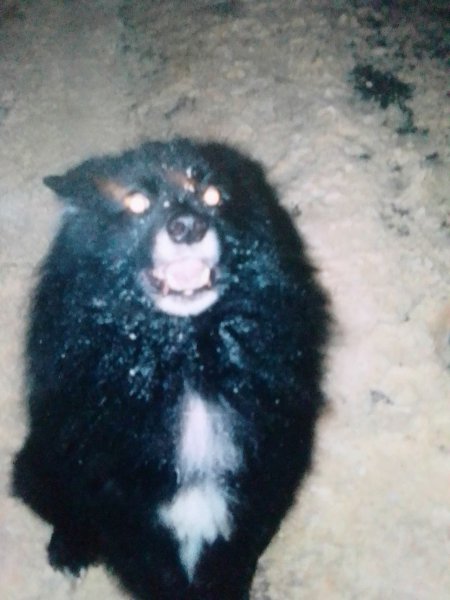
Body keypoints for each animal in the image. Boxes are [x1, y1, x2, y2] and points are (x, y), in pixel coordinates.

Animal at [12, 139, 330, 599]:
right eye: (136, 202)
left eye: (213, 196)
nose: (188, 226)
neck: (185, 360)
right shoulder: (124, 513)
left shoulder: (257, 492)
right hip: (41, 463)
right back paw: (68, 548)